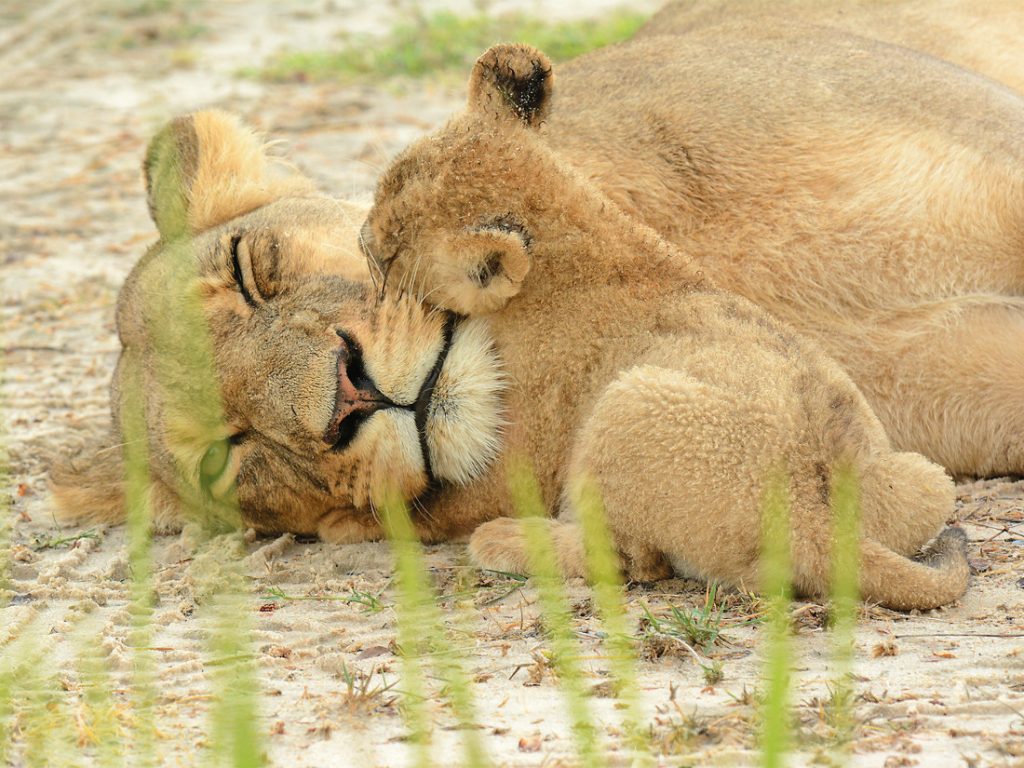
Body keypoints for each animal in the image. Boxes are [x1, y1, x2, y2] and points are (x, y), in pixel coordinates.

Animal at [359, 44, 969, 610]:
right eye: (385, 186)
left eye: (388, 255)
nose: (362, 238)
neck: (581, 226)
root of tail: (808, 514)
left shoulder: (525, 433)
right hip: (924, 478)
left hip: (628, 401)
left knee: (631, 558)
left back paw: (504, 540)